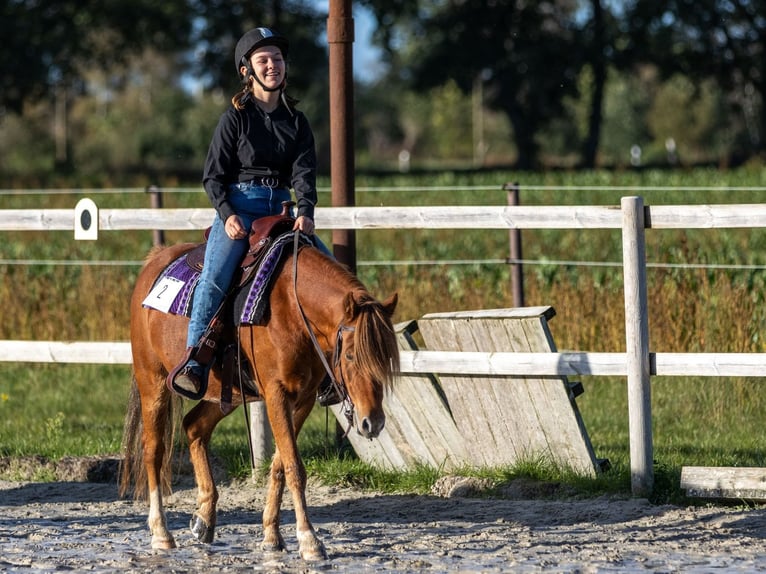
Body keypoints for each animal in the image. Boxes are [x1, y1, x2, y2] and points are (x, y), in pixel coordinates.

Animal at [120, 238, 402, 564]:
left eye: (385, 360)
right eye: (352, 356)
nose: (373, 423)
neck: (291, 307)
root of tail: (155, 261)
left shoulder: (303, 399)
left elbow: (280, 464)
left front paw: (271, 536)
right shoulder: (276, 394)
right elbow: (294, 467)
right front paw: (309, 540)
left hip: (225, 392)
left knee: (194, 427)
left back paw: (204, 518)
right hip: (152, 381)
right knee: (153, 451)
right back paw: (161, 533)